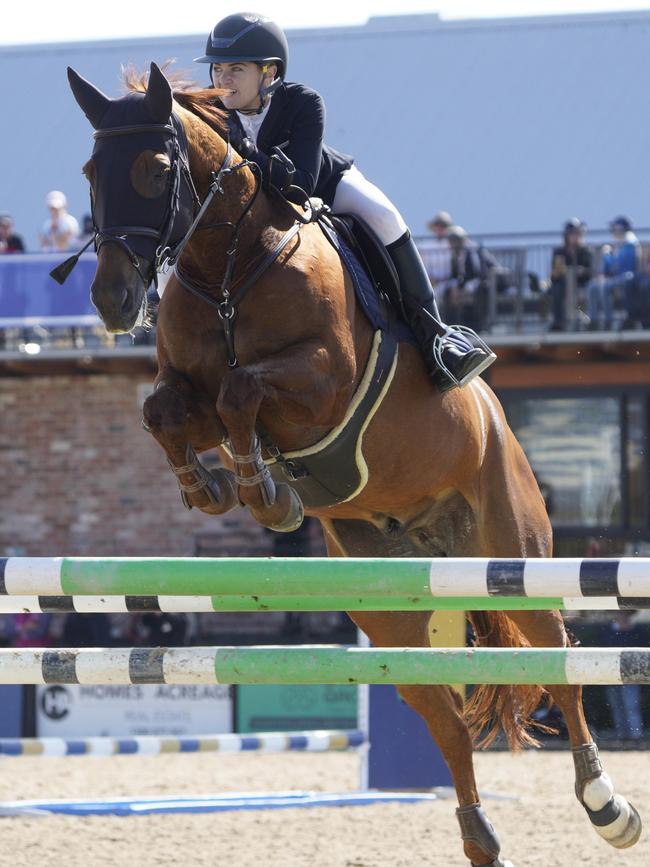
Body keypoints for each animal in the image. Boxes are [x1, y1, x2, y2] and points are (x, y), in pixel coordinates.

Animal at [66, 62, 636, 867]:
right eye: (91, 173)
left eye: (154, 169)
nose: (113, 302)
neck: (229, 267)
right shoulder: (189, 392)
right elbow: (165, 412)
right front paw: (213, 485)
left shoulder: (322, 385)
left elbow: (243, 391)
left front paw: (263, 490)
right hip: (391, 608)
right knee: (446, 716)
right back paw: (480, 835)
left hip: (514, 549)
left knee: (562, 667)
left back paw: (605, 804)